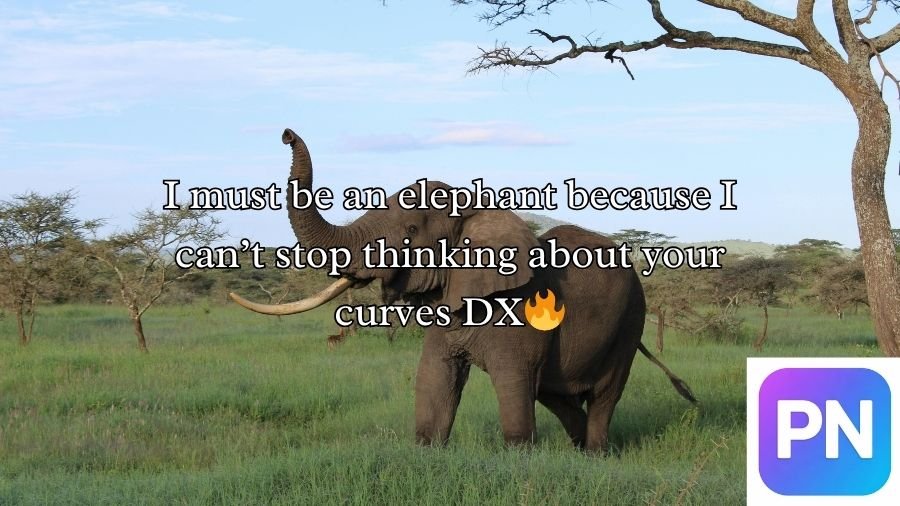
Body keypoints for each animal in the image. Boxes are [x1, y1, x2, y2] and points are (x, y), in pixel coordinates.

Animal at [230, 128, 697, 453]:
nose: (286, 133)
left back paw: (597, 454)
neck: (473, 210)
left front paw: (518, 462)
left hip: (630, 319)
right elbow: (435, 380)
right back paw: (580, 451)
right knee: (555, 393)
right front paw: (427, 451)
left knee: (602, 395)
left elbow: (513, 385)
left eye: (410, 230)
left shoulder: (518, 308)